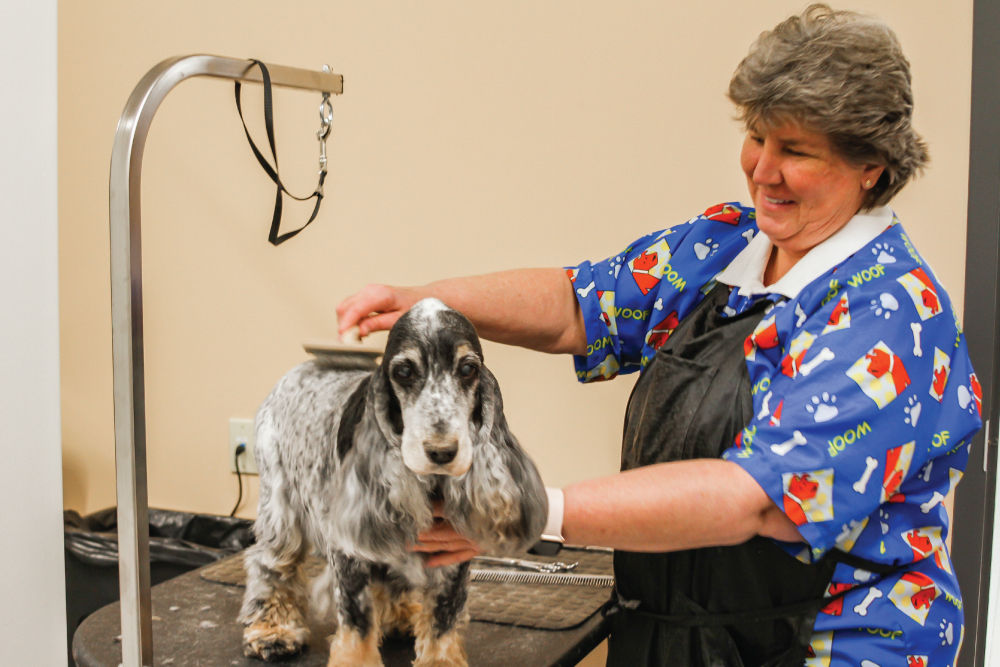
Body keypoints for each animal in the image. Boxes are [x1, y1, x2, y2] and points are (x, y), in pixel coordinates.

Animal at [240, 300, 548, 664]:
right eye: (404, 371)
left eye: (468, 369)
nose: (442, 452)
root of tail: (303, 367)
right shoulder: (349, 550)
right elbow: (357, 625)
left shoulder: (453, 558)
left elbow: (442, 623)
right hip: (280, 508)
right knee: (270, 565)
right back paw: (273, 632)